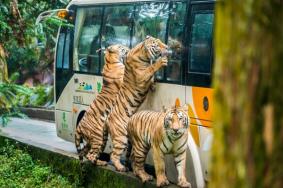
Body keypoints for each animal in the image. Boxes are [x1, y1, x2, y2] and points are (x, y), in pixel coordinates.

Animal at [106, 36, 170, 173]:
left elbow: (151, 78)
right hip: (121, 137)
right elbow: (151, 69)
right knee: (113, 155)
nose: (167, 47)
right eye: (157, 44)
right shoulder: (141, 75)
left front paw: (153, 86)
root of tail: (107, 120)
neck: (143, 54)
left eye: (161, 41)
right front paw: (161, 62)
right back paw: (121, 167)